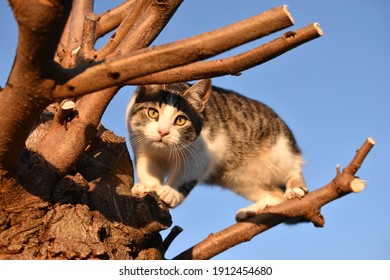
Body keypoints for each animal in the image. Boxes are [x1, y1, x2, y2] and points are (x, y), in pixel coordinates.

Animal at [127, 79, 308, 221]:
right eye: (153, 113)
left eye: (180, 120)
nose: (163, 132)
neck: (165, 151)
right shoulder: (142, 148)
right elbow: (146, 171)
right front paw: (147, 187)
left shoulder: (200, 156)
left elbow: (185, 175)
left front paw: (171, 192)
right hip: (238, 177)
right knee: (276, 195)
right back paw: (249, 212)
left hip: (280, 151)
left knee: (293, 169)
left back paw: (294, 189)